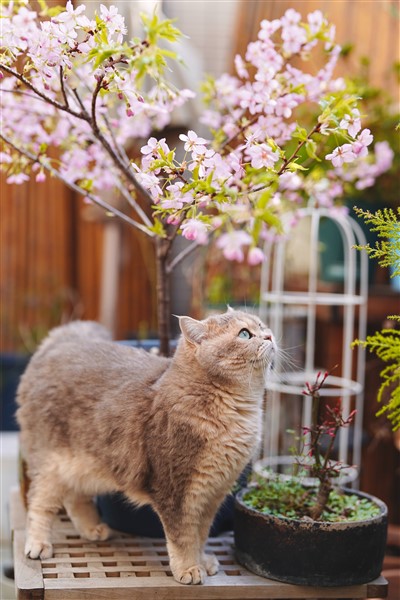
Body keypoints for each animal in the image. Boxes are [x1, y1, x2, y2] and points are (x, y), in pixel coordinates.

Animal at [17, 312, 276, 584]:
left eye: (261, 325)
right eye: (245, 334)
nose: (270, 335)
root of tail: (57, 343)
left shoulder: (213, 494)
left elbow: (201, 535)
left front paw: (202, 560)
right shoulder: (177, 491)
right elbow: (183, 537)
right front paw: (188, 568)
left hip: (87, 465)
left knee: (74, 497)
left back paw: (92, 529)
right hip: (50, 465)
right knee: (39, 504)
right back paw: (38, 544)